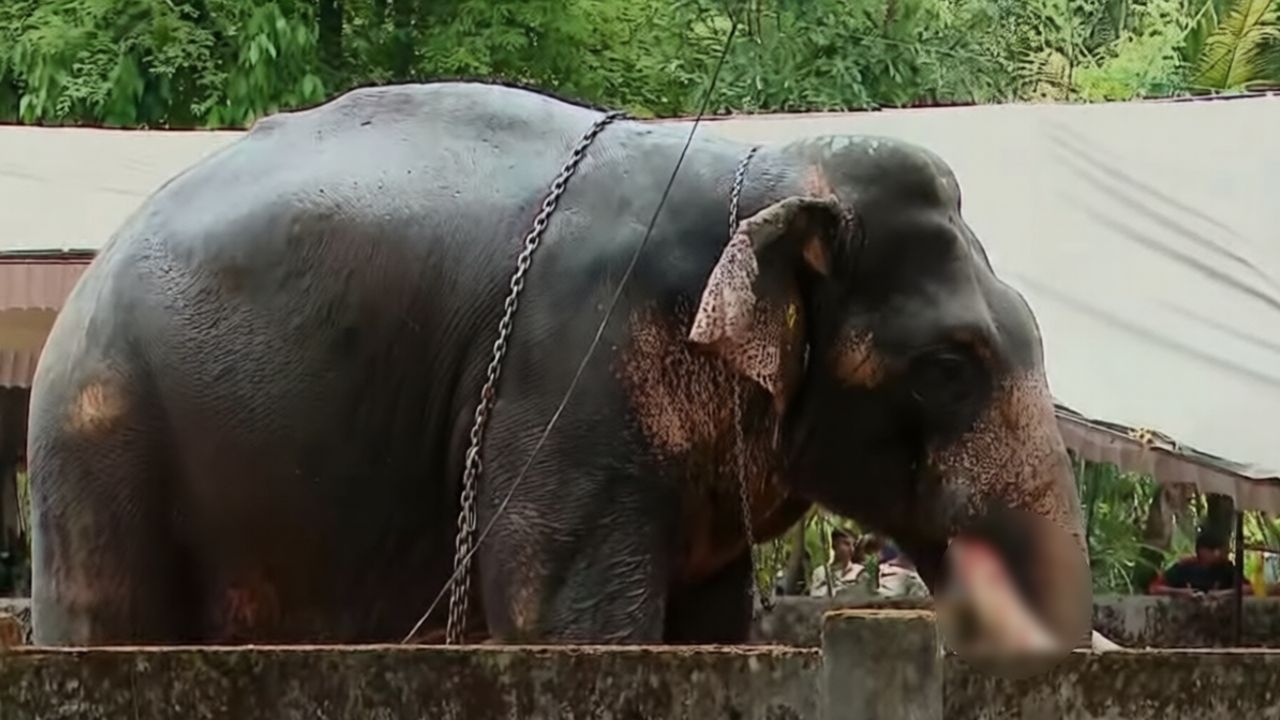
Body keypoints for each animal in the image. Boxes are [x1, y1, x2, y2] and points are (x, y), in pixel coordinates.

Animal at [27, 81, 1091, 651]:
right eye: (949, 367)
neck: (761, 171)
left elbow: (709, 629)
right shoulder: (568, 382)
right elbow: (565, 628)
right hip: (104, 442)